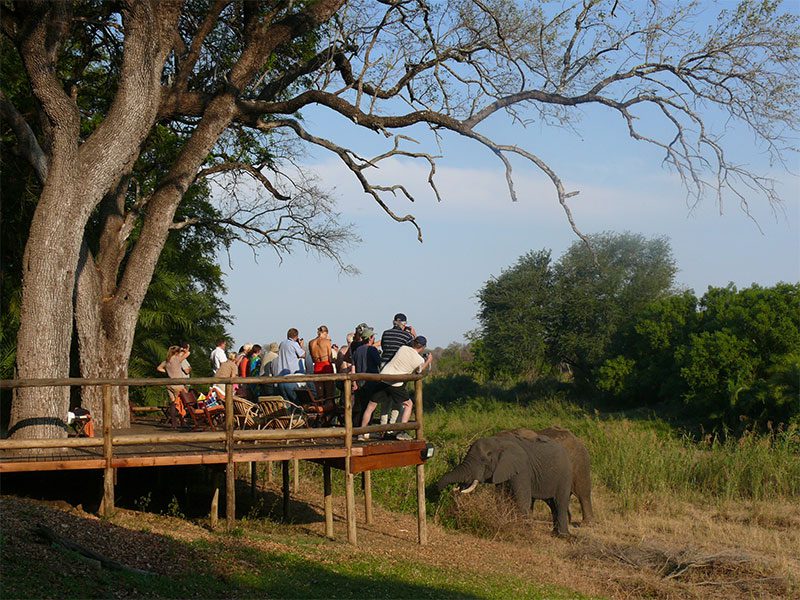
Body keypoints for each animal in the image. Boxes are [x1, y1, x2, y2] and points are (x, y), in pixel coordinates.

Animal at [435, 431, 573, 536]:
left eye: (484, 460)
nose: (439, 493)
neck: (498, 441)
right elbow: (501, 498)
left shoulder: (522, 469)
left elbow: (522, 499)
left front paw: (524, 533)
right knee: (552, 504)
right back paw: (555, 534)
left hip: (565, 475)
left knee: (559, 502)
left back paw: (562, 536)